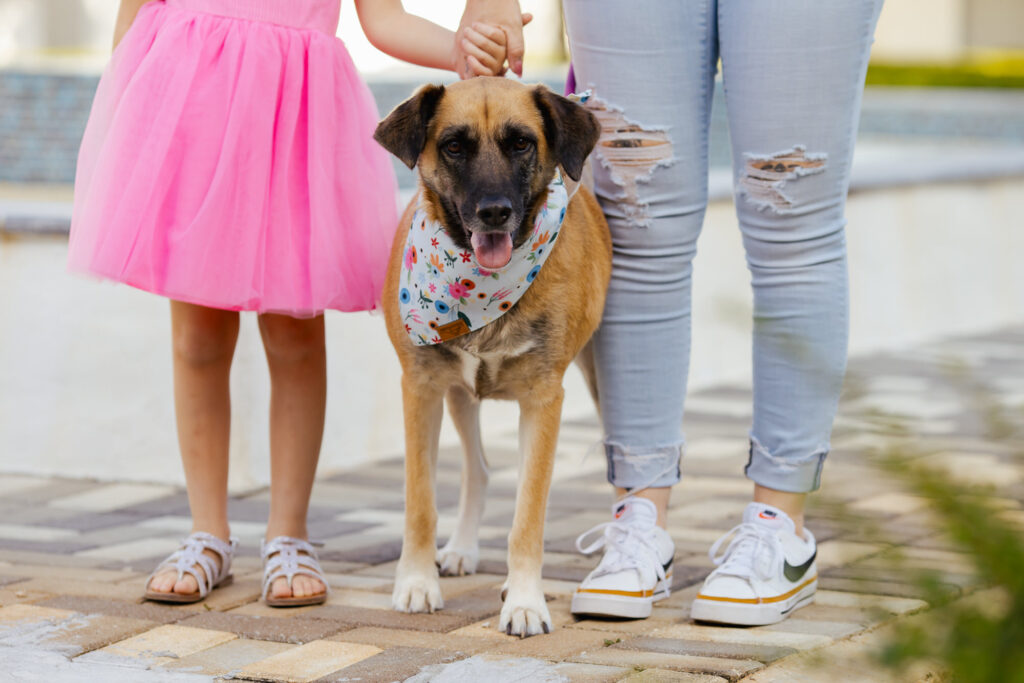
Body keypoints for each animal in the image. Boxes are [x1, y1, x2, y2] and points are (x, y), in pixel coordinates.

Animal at [378, 77, 610, 638]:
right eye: (453, 146)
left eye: (522, 143)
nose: (494, 212)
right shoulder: (420, 388)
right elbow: (420, 502)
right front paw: (416, 582)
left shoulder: (545, 400)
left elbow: (528, 516)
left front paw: (524, 601)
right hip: (459, 396)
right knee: (479, 469)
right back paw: (461, 549)